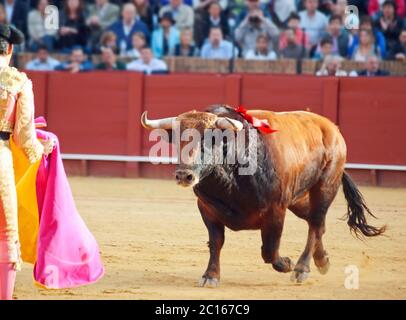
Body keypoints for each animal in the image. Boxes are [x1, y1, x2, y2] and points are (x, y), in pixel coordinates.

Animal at [141, 104, 386, 284]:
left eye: (210, 140)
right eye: (177, 140)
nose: (185, 176)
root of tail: (331, 127)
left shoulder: (275, 210)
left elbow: (269, 249)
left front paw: (286, 263)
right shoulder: (207, 209)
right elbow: (216, 242)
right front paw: (210, 276)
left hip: (325, 186)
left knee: (316, 223)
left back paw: (301, 268)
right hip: (298, 198)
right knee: (316, 223)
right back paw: (322, 260)